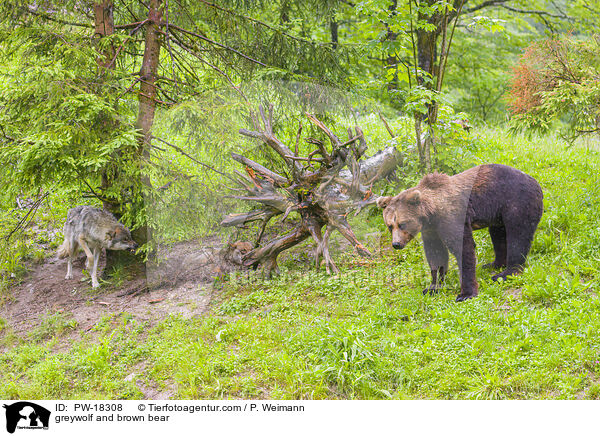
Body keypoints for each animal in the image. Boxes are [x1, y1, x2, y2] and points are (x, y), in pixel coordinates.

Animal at [380, 165, 544, 302]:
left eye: (402, 224)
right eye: (390, 226)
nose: (396, 244)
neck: (432, 214)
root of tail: (535, 182)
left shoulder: (452, 218)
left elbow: (464, 249)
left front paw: (465, 293)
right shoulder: (431, 230)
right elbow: (436, 255)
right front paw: (432, 287)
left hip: (516, 203)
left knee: (517, 236)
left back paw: (506, 273)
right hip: (498, 213)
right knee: (498, 235)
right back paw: (493, 264)